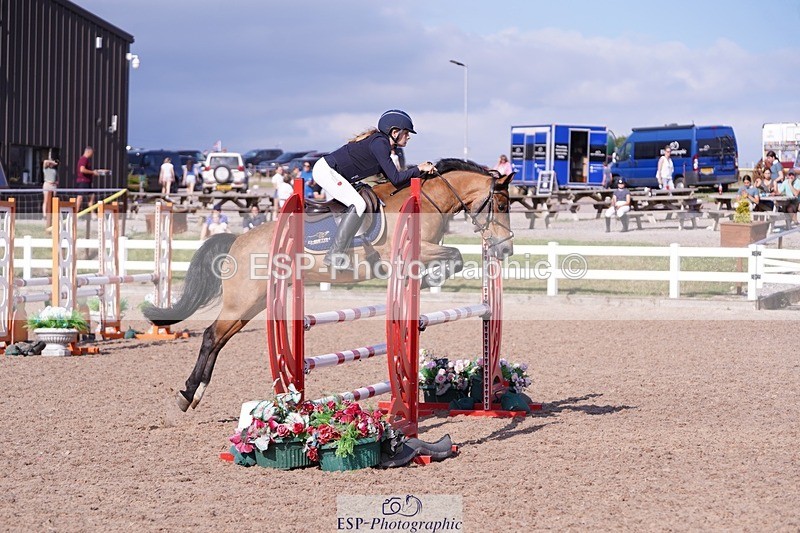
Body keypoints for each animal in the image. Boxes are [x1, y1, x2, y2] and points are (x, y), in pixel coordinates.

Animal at [143, 158, 515, 411]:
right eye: (501, 203)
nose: (505, 249)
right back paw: (188, 394)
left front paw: (427, 282)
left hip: (255, 303)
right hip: (244, 300)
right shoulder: (412, 250)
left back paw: (193, 394)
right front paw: (428, 278)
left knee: (218, 339)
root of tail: (238, 240)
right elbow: (455, 255)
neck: (426, 201)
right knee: (210, 336)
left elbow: (454, 258)